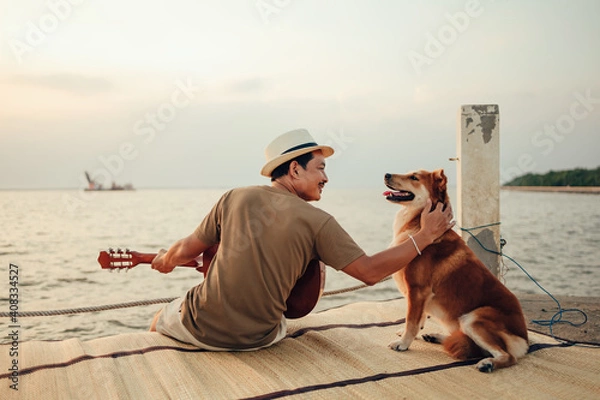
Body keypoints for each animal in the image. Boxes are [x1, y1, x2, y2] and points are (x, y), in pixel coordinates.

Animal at [386, 168, 528, 372]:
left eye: (414, 177)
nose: (386, 174)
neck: (419, 224)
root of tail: (525, 340)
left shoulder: (417, 290)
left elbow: (412, 321)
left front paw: (404, 343)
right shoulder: (421, 297)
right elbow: (419, 319)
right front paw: (410, 333)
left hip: (473, 319)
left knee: (507, 357)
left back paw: (488, 363)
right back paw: (437, 337)